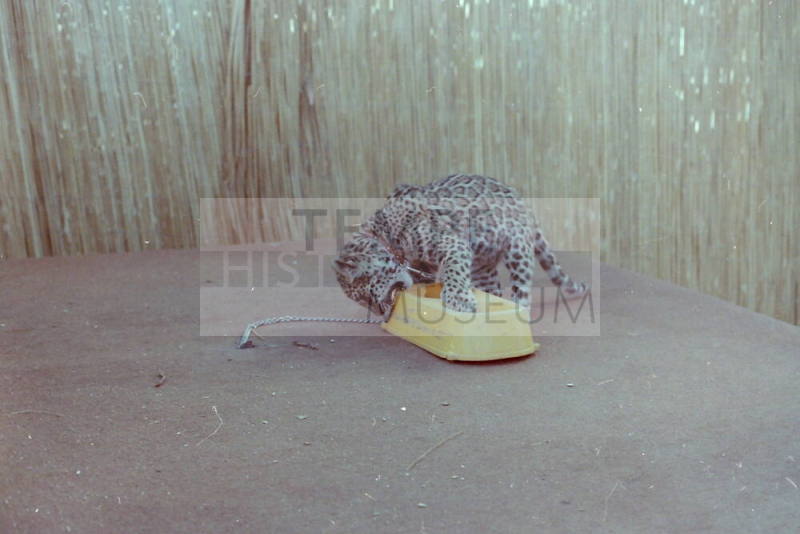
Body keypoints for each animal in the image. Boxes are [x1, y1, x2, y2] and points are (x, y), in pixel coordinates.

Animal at [332, 174, 588, 319]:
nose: (380, 313)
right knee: (493, 288)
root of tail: (525, 206)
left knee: (521, 289)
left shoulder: (452, 244)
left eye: (366, 296)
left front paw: (458, 300)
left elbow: (453, 271)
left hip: (517, 250)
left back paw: (518, 309)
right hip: (482, 268)